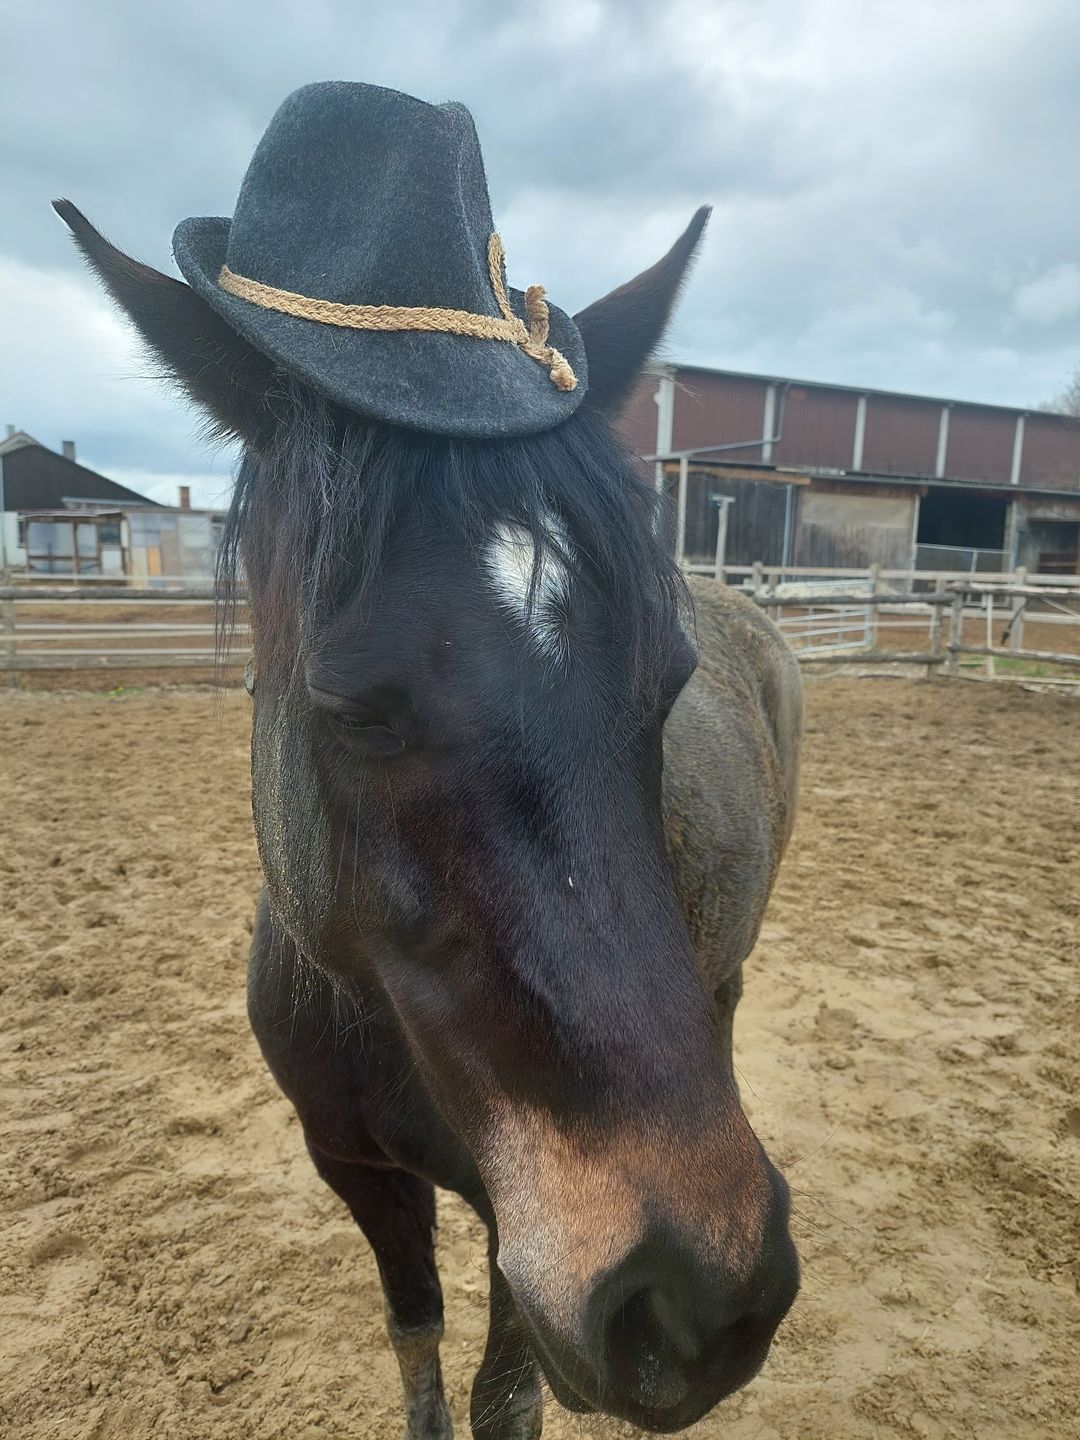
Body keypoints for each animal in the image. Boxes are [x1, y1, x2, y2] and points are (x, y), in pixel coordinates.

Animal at [59, 199, 803, 1438]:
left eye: (667, 684)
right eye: (352, 708)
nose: (702, 1296)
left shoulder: (522, 1234)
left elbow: (503, 1401)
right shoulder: (355, 1169)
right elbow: (414, 1340)